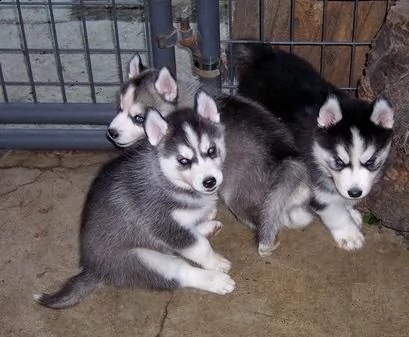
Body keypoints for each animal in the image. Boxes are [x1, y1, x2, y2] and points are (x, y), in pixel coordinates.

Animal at [34, 90, 233, 308]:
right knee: (181, 271)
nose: (210, 181)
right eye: (183, 160)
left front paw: (204, 214)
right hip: (143, 260)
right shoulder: (161, 223)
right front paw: (215, 262)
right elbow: (199, 247)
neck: (168, 178)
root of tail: (93, 269)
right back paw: (215, 280)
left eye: (211, 150)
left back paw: (207, 226)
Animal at [234, 42, 394, 249]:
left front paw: (351, 210)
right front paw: (349, 234)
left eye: (371, 162)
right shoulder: (315, 182)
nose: (355, 193)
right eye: (339, 162)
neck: (316, 147)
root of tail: (264, 56)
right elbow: (333, 211)